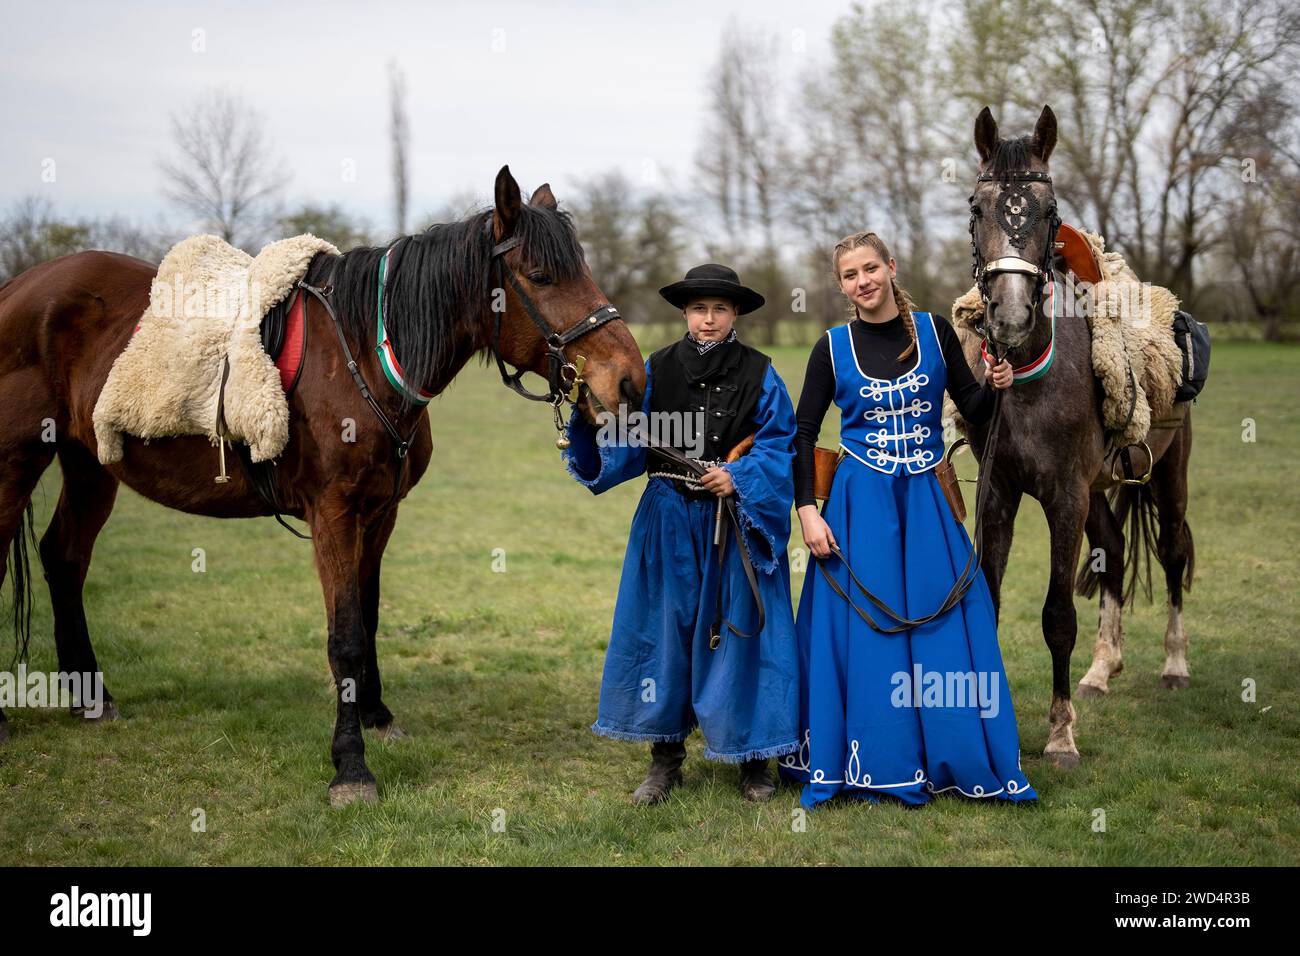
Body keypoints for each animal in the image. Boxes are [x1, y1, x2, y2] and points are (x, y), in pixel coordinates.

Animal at [0, 167, 647, 806]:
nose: (629, 380)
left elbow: (368, 614)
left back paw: (92, 697)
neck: (365, 351)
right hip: (17, 461)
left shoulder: (380, 512)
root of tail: (19, 289)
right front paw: (351, 766)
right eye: (540, 276)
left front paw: (376, 715)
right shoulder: (332, 512)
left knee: (63, 557)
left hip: (90, 462)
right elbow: (346, 637)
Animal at [961, 104, 1190, 770]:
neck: (1028, 378)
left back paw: (1174, 662)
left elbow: (1058, 615)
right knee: (1112, 548)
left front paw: (1061, 733)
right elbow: (988, 599)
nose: (1010, 317)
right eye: (977, 207)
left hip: (1168, 473)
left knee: (1172, 553)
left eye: (1049, 212)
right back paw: (1100, 669)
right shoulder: (999, 493)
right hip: (1097, 491)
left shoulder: (1064, 496)